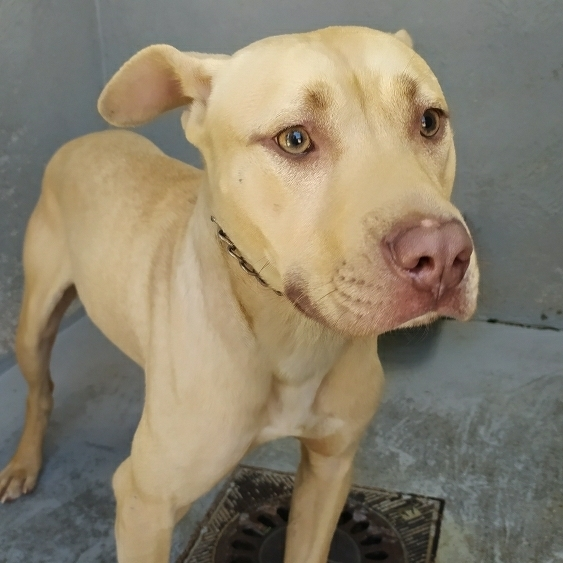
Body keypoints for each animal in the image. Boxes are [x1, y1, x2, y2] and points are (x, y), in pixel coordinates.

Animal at [0, 26, 478, 562]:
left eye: (430, 122)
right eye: (295, 139)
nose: (442, 255)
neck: (291, 338)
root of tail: (90, 136)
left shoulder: (330, 468)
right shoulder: (145, 506)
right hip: (33, 323)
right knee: (40, 389)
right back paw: (24, 463)